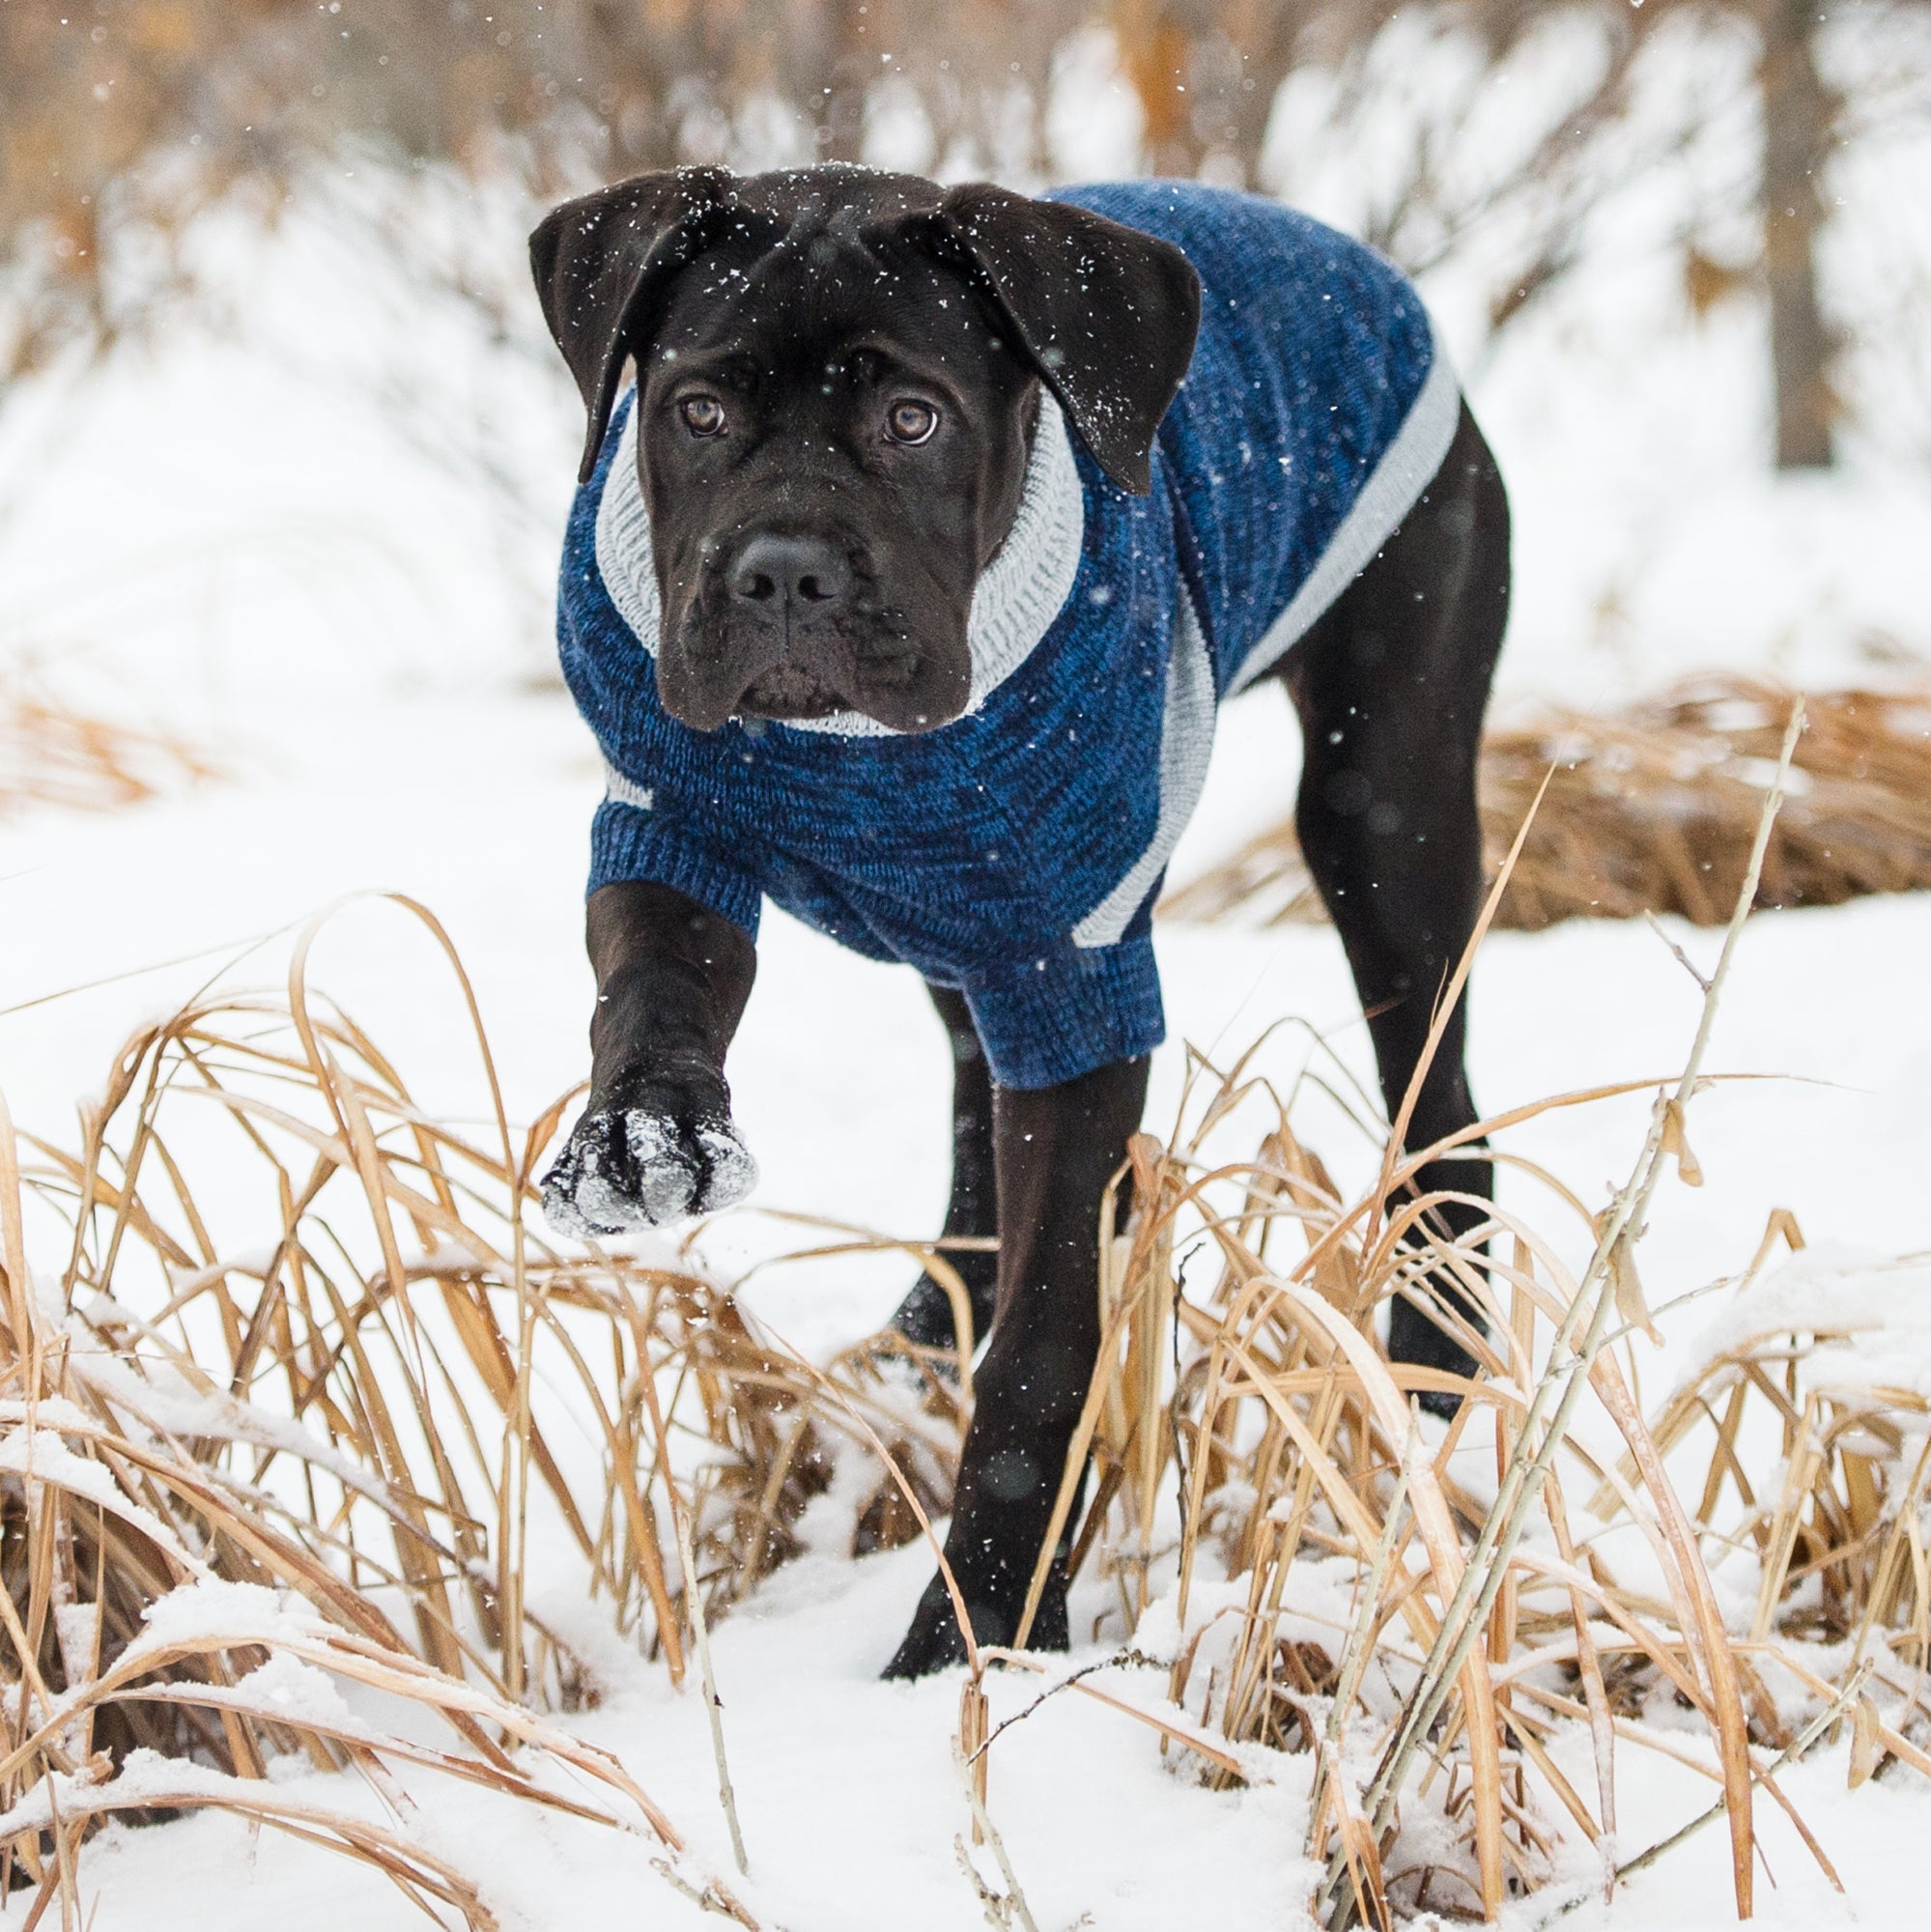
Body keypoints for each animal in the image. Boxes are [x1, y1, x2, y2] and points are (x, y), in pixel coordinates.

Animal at [532, 166, 1506, 1677]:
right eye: (694, 412)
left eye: (911, 417)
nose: (782, 573)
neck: (863, 758)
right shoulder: (669, 813)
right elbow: (648, 986)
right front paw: (645, 1134)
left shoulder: (1072, 972)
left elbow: (1047, 1347)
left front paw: (973, 1639)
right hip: (961, 933)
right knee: (968, 1146)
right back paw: (911, 1347)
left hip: (1382, 807)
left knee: (1439, 1107)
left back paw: (1430, 1386)